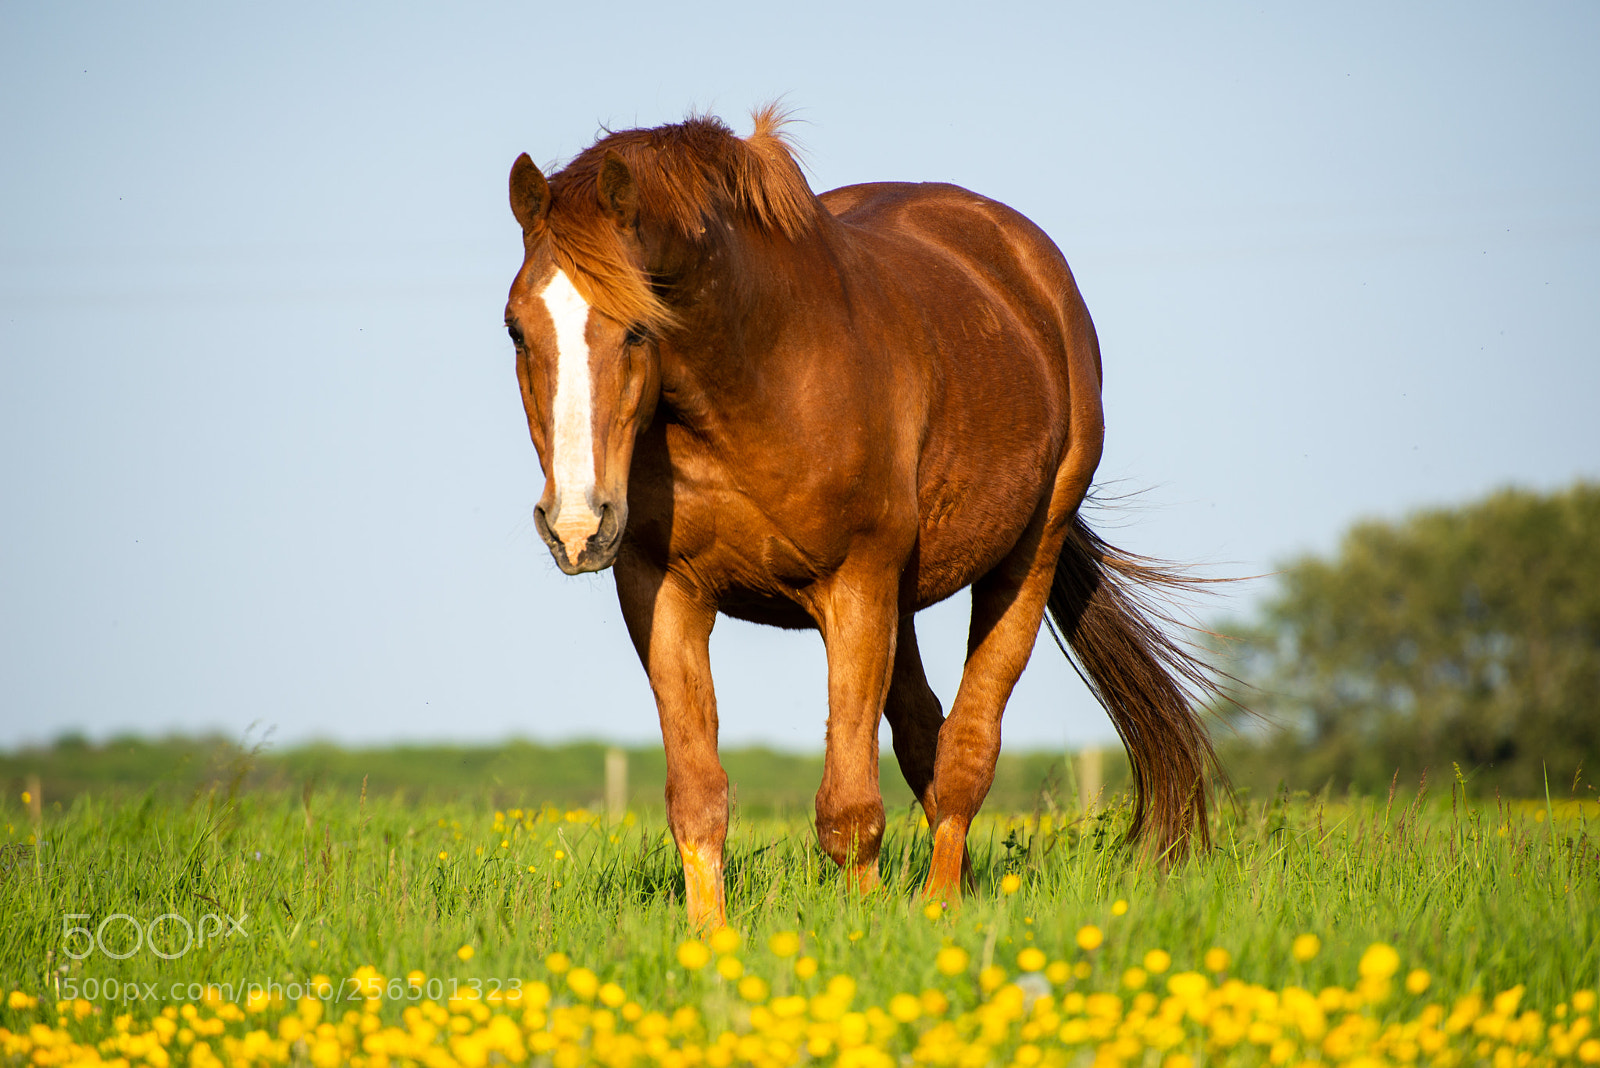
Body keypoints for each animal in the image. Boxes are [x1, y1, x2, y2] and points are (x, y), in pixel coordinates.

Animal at [504, 108, 1224, 928]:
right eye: (517, 330)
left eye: (637, 330)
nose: (576, 524)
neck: (756, 380)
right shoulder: (663, 592)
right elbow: (698, 798)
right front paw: (708, 941)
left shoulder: (853, 585)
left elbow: (849, 808)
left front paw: (861, 931)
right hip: (898, 604)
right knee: (924, 737)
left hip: (1019, 560)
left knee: (966, 748)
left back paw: (942, 904)